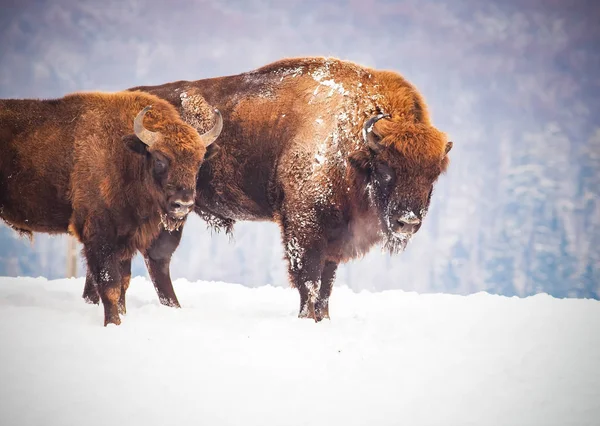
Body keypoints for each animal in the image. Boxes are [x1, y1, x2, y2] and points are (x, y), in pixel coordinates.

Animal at [0, 90, 223, 326]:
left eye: (199, 161)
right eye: (160, 159)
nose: (183, 204)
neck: (126, 156)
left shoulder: (126, 238)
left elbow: (123, 282)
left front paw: (123, 316)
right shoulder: (100, 237)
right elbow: (111, 287)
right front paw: (113, 324)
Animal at [124, 57, 452, 322]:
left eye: (433, 175)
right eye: (385, 169)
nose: (407, 222)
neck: (351, 145)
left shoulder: (335, 237)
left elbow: (326, 284)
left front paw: (324, 319)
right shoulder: (304, 226)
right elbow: (309, 280)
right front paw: (308, 319)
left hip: (175, 212)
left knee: (158, 256)